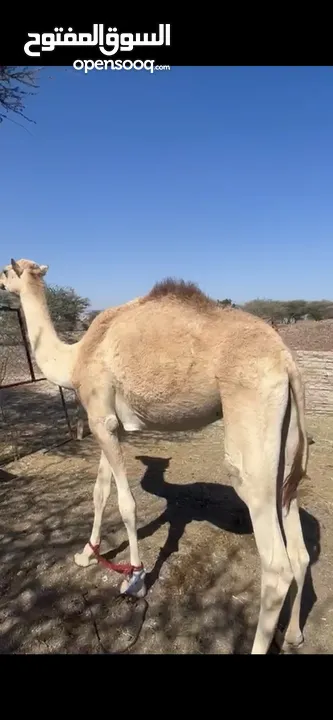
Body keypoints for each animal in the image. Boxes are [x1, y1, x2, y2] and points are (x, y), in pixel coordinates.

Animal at [1, 258, 310, 652]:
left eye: (7, 272)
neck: (75, 358)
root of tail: (287, 362)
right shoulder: (108, 423)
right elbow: (100, 492)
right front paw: (87, 553)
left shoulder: (100, 418)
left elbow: (127, 504)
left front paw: (134, 578)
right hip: (286, 443)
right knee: (299, 547)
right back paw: (294, 634)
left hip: (252, 421)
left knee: (276, 565)